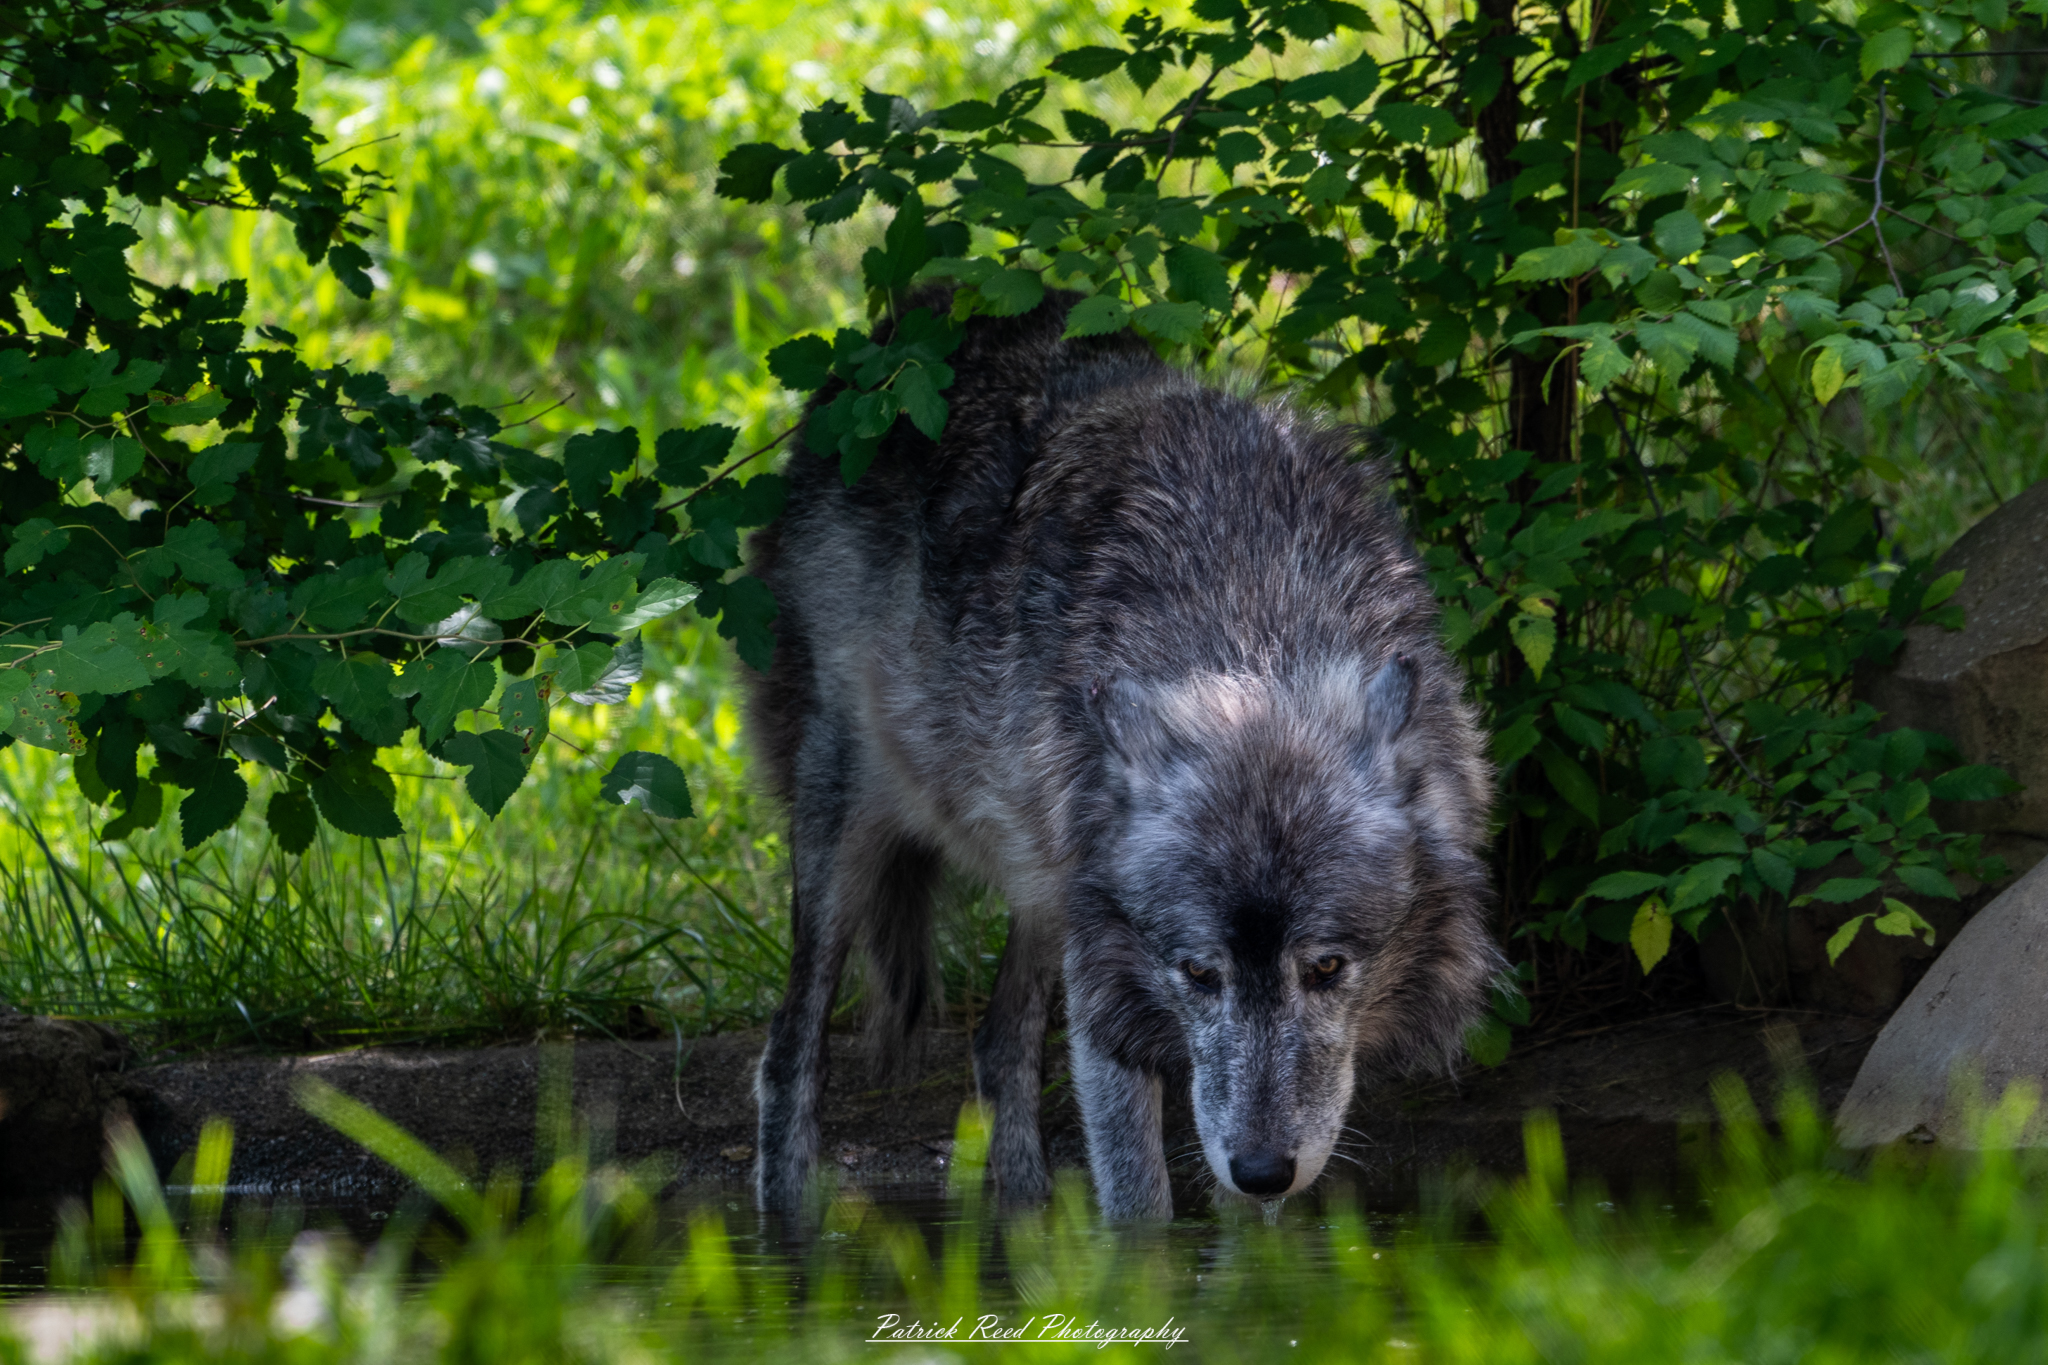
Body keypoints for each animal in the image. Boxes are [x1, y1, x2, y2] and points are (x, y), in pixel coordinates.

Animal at [743, 290, 1501, 1220]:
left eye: (1326, 967)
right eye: (1199, 973)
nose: (1260, 1167)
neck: (1251, 622)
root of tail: (902, 321)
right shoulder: (1109, 989)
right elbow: (1139, 1203)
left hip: (1045, 884)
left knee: (999, 1044)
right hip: (848, 837)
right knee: (788, 1049)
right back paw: (787, 1225)